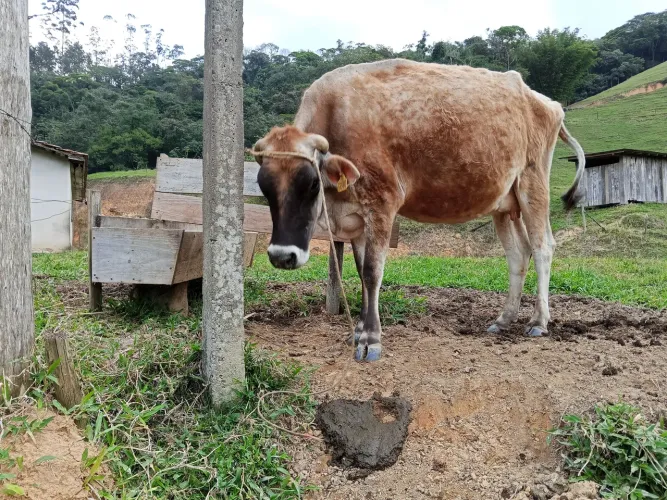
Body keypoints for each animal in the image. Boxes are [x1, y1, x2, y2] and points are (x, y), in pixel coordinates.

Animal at [249, 58, 585, 362]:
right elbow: (361, 271)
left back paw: (539, 321)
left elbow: (372, 272)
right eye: (264, 187)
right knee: (518, 253)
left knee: (542, 248)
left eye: (311, 184)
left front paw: (371, 339)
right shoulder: (357, 218)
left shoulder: (382, 203)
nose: (282, 256)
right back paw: (504, 319)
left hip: (533, 183)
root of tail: (544, 101)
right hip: (504, 202)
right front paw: (358, 331)